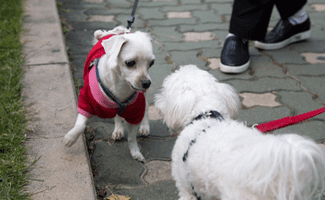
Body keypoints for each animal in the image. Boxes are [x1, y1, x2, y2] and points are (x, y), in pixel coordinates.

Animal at [64, 25, 155, 162]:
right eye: (130, 63)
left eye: (151, 63)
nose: (147, 83)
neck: (120, 87)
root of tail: (115, 32)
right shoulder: (86, 102)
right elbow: (80, 124)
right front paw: (71, 137)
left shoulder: (135, 111)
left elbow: (132, 138)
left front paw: (135, 152)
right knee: (117, 115)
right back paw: (118, 129)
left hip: (143, 96)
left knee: (147, 110)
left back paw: (144, 127)